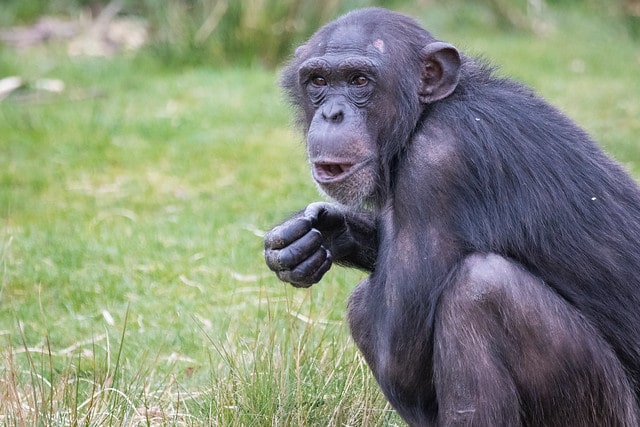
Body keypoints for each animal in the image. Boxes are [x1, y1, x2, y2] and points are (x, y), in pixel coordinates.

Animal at [262, 7, 640, 427]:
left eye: (360, 80)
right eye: (319, 81)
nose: (332, 113)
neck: (424, 116)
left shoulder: (437, 164)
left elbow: (401, 359)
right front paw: (319, 233)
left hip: (609, 411)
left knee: (480, 290)